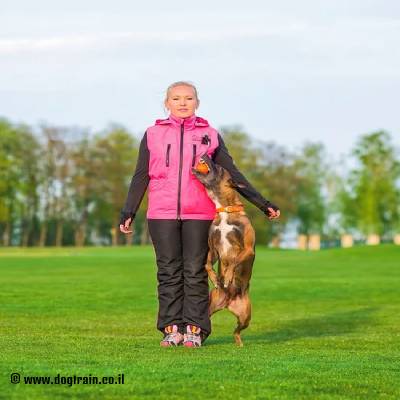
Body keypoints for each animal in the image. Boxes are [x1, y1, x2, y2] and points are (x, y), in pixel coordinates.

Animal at [191, 154, 255, 346]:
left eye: (219, 167)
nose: (205, 155)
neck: (225, 209)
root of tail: (228, 302)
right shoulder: (213, 250)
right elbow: (207, 264)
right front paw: (215, 278)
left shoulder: (248, 250)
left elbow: (234, 261)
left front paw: (227, 277)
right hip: (208, 308)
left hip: (246, 316)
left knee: (237, 331)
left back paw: (239, 343)